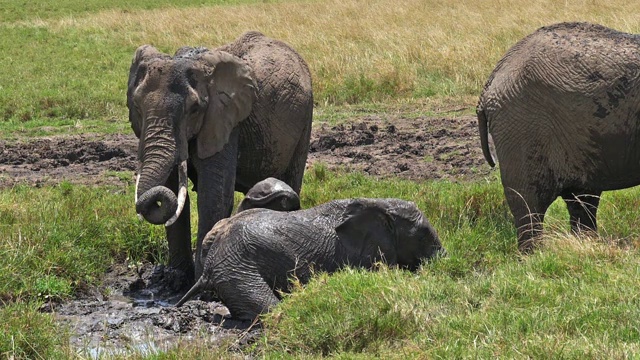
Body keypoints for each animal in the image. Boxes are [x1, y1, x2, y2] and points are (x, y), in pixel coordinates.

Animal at [127, 31, 312, 284]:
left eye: (194, 109)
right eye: (137, 106)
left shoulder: (226, 120)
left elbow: (214, 196)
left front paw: (201, 280)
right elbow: (174, 190)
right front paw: (174, 282)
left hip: (306, 118)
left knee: (292, 178)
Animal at [478, 21, 640, 250]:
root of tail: (492, 78)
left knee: (582, 198)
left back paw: (585, 245)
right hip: (522, 125)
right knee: (529, 202)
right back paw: (535, 254)